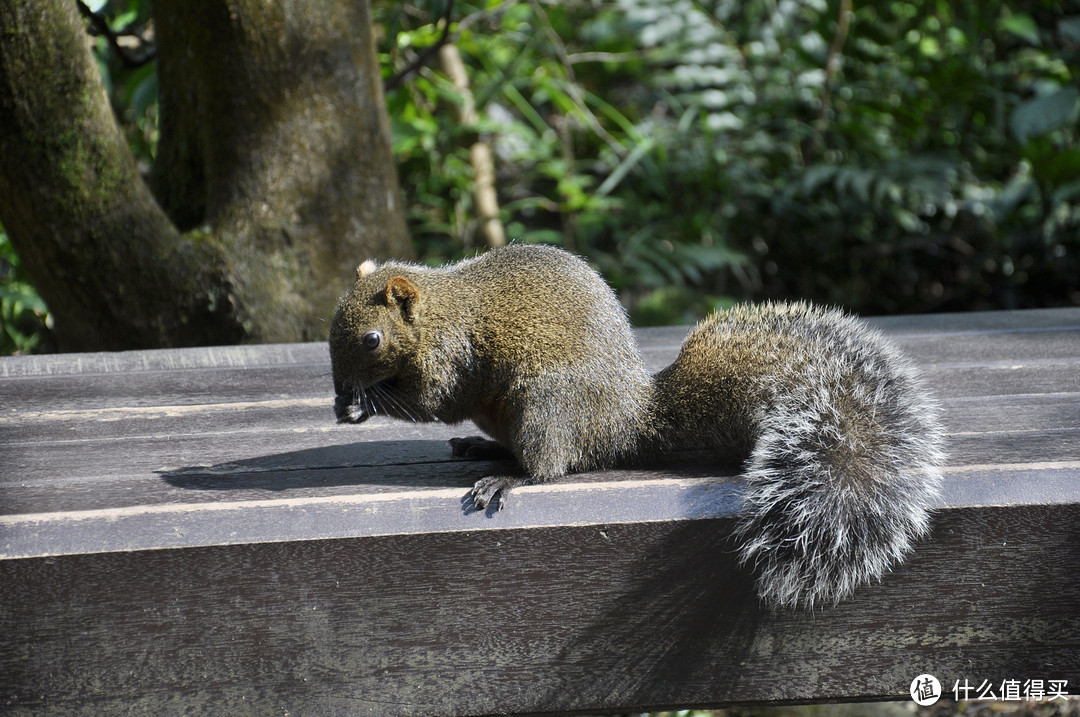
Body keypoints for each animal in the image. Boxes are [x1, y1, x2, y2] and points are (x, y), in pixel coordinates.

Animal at [328, 244, 946, 609]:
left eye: (372, 339)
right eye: (333, 321)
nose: (338, 389)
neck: (438, 310)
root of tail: (627, 418)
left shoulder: (454, 357)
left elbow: (435, 399)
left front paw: (363, 403)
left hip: (546, 404)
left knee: (550, 466)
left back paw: (509, 477)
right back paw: (484, 449)